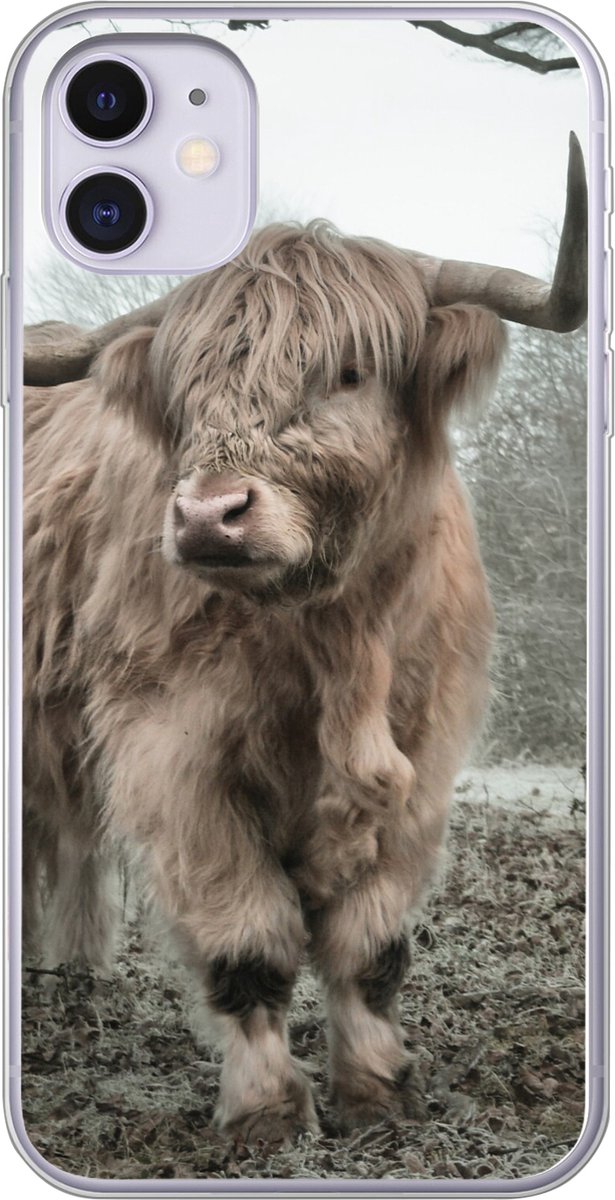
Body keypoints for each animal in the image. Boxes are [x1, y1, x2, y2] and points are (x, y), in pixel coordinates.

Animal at [22, 134, 587, 1144]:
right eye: (186, 389)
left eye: (350, 372)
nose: (208, 516)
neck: (336, 645)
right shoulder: (175, 761)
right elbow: (249, 944)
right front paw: (267, 1111)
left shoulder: (422, 764)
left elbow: (371, 948)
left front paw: (378, 1092)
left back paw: (79, 974)